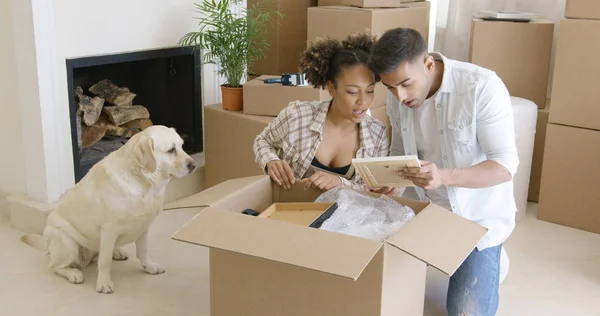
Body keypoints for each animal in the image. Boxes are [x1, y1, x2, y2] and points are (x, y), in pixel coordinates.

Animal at [19, 124, 195, 292]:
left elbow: (143, 252)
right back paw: (73, 273)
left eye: (182, 146)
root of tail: (48, 245)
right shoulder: (109, 229)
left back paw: (117, 252)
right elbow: (104, 262)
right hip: (68, 243)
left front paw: (149, 267)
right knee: (55, 266)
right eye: (171, 150)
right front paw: (103, 283)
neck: (143, 183)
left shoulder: (144, 227)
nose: (193, 165)